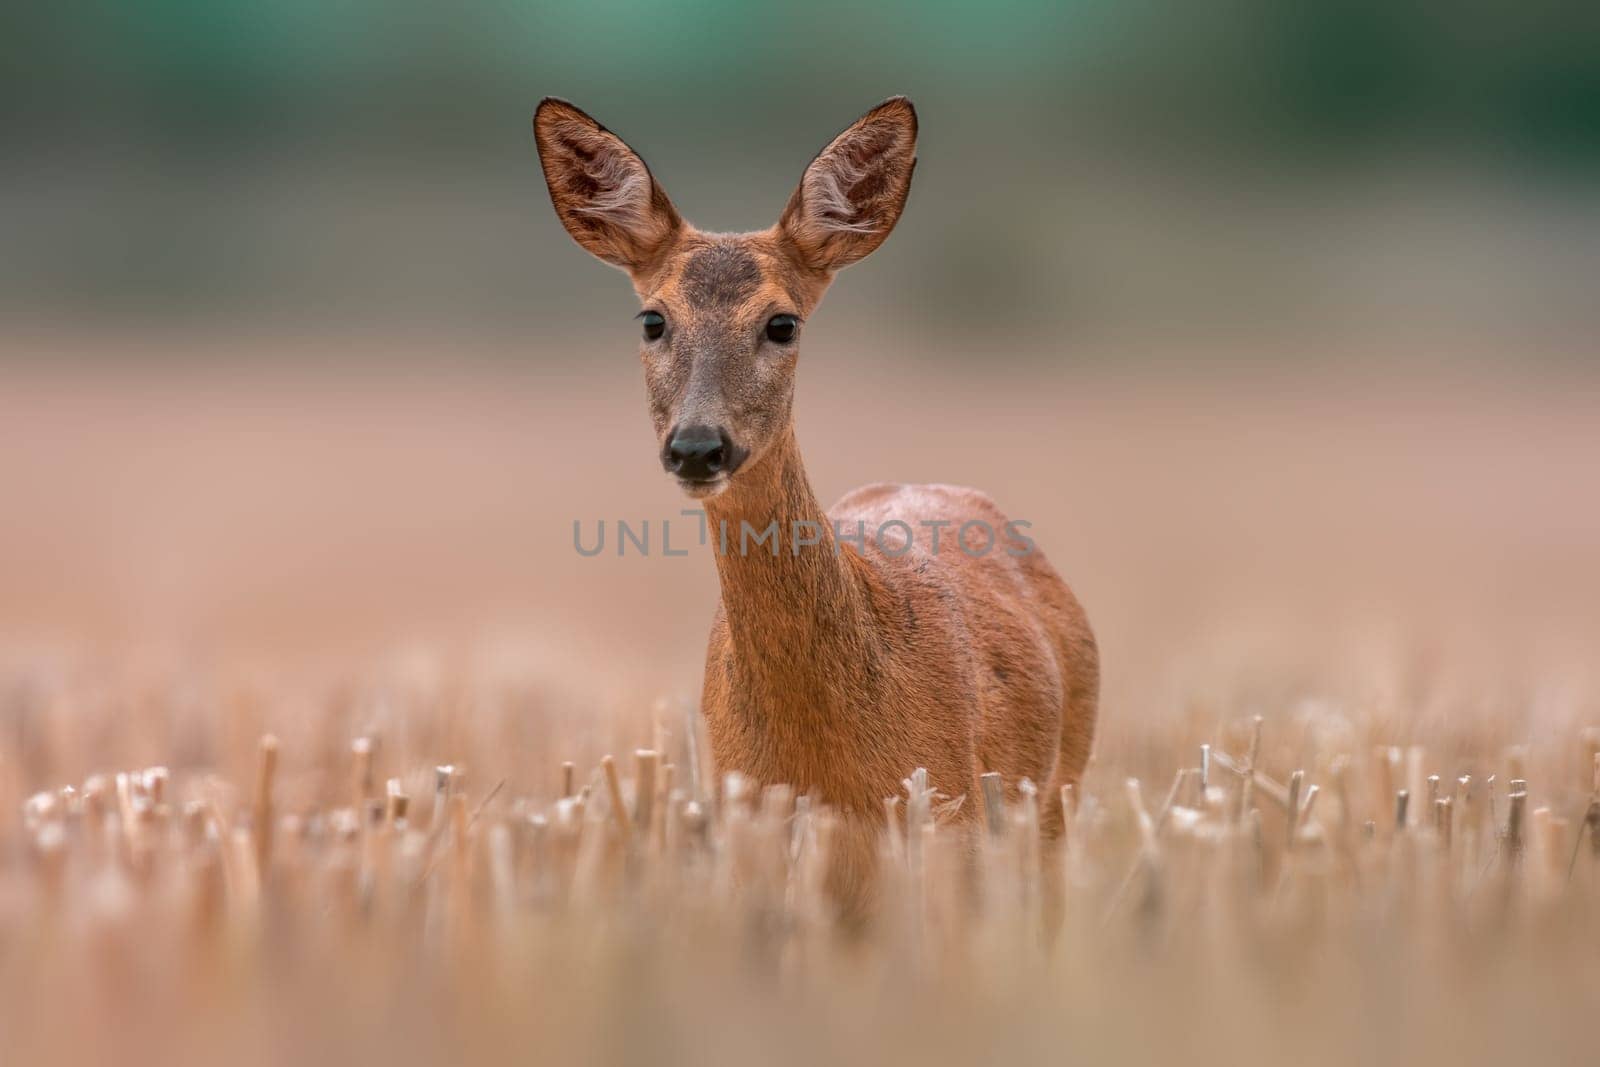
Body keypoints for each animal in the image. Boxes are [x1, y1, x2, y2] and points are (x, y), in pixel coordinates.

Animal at [537, 97, 1100, 921]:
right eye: (652, 319)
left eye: (782, 322)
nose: (698, 447)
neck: (823, 754)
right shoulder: (747, 820)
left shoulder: (949, 809)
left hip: (1059, 794)